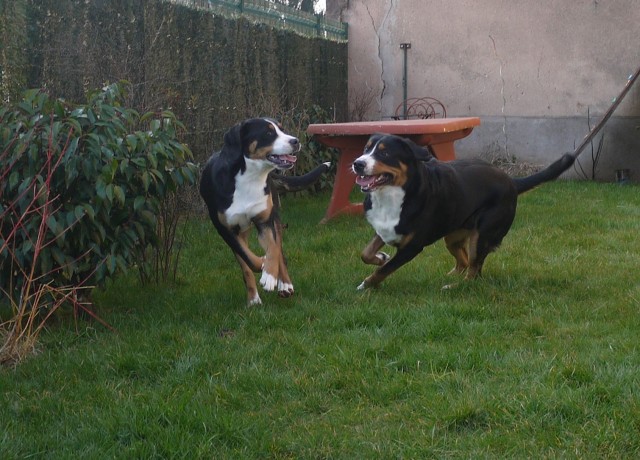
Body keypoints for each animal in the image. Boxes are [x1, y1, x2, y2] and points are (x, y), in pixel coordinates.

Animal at [199, 118, 330, 306]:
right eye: (268, 133)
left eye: (281, 129)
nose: (295, 141)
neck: (249, 178)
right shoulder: (225, 229)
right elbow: (248, 258)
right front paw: (262, 264)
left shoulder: (266, 220)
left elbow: (273, 249)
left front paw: (270, 275)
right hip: (241, 230)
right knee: (245, 264)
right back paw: (253, 298)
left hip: (274, 216)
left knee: (280, 252)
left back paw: (285, 285)